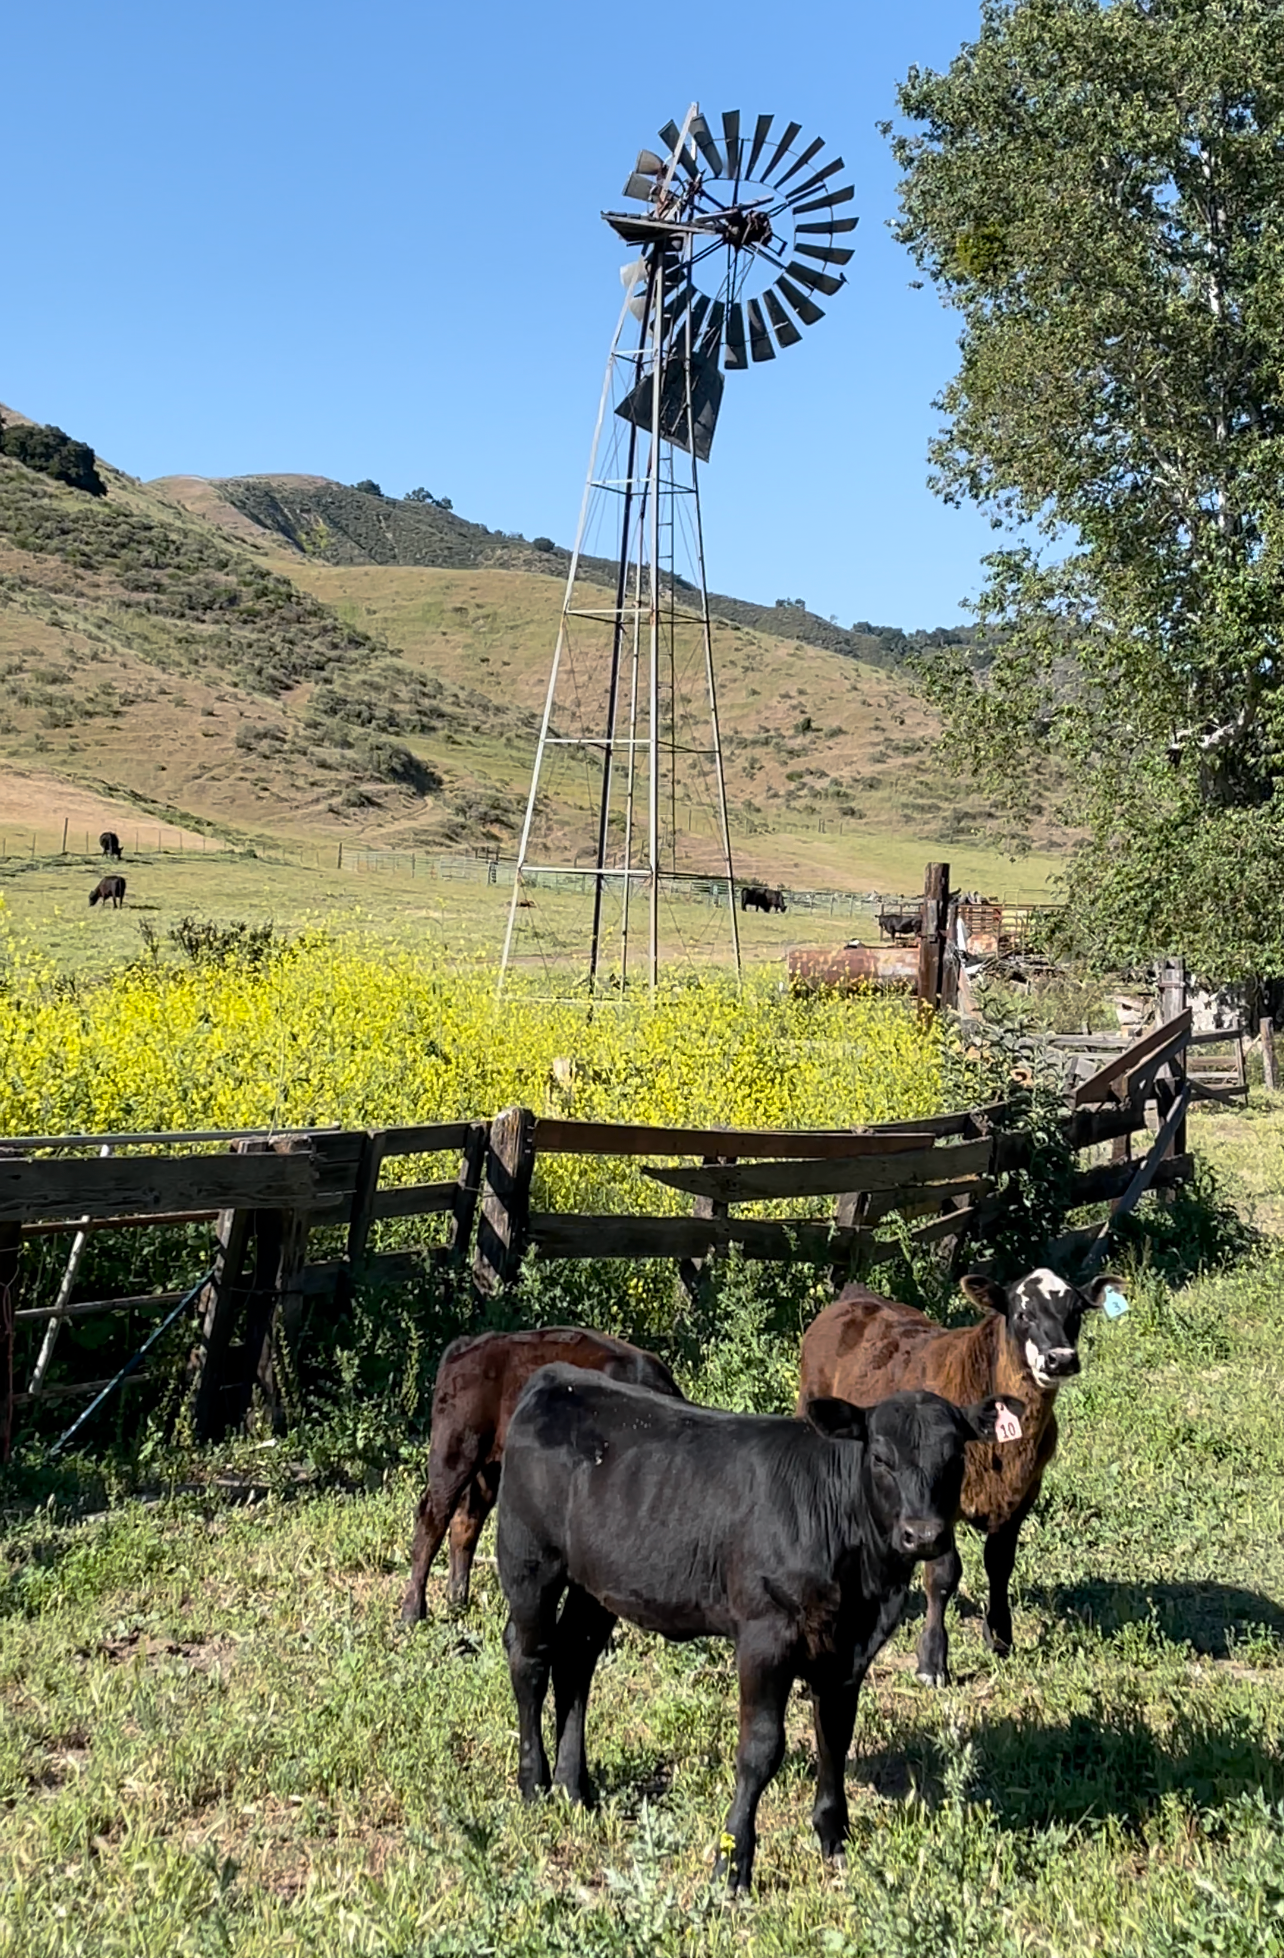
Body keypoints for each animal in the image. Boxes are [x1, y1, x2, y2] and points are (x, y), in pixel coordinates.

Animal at [399, 1327, 682, 1623]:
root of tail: (469, 1346)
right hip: (454, 1454)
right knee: (432, 1519)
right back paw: (412, 1612)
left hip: (490, 1468)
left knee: (466, 1520)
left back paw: (456, 1603)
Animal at [495, 1364, 1022, 1891]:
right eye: (880, 1457)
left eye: (955, 1456)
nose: (924, 1535)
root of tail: (558, 1378)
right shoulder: (765, 1636)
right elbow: (760, 1749)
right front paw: (733, 1862)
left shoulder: (848, 1649)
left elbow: (835, 1735)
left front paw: (835, 1838)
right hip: (529, 1562)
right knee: (530, 1659)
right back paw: (534, 1783)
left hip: (596, 1584)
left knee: (574, 1659)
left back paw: (573, 1788)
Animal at [797, 1268, 1120, 1686]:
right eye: (1022, 1313)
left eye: (1076, 1311)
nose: (1060, 1359)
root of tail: (855, 1297)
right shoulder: (941, 1502)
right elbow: (943, 1576)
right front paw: (932, 1661)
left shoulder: (1024, 1492)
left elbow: (999, 1564)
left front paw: (1000, 1638)